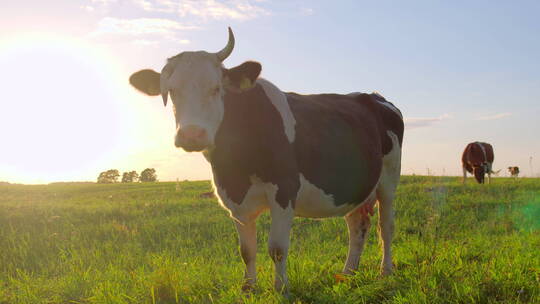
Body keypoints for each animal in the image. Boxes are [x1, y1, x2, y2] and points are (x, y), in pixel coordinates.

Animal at [129, 28, 402, 292]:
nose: (192, 135)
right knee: (357, 226)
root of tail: (374, 96)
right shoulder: (233, 197)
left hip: (389, 178)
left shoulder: (285, 189)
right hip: (357, 189)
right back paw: (347, 274)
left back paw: (386, 271)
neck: (235, 165)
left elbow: (277, 247)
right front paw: (248, 287)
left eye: (217, 88)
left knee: (385, 227)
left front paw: (281, 288)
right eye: (171, 91)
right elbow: (246, 251)